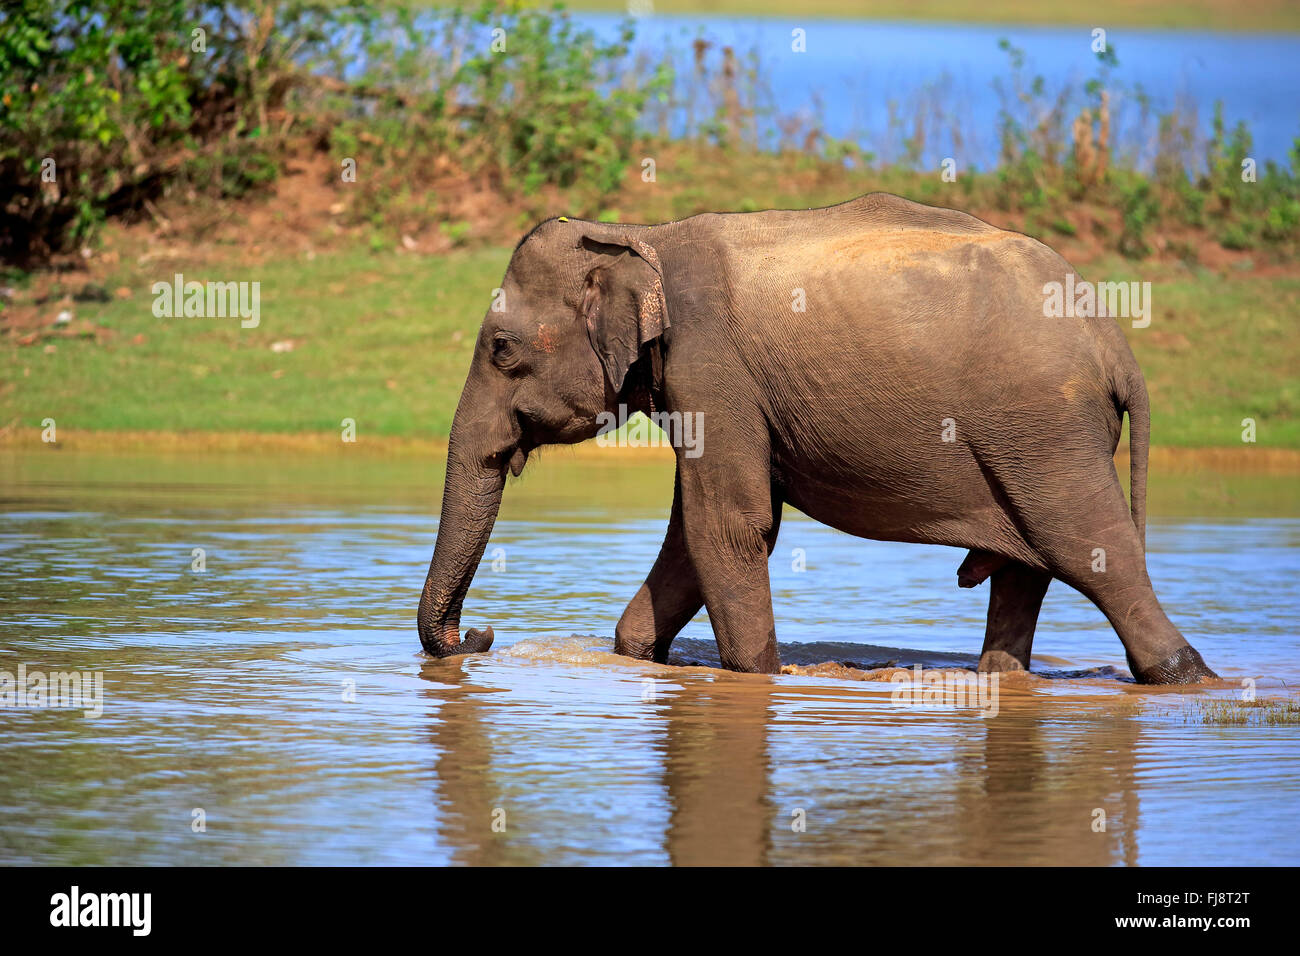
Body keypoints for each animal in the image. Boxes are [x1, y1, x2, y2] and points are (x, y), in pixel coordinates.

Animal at [416, 195, 1216, 686]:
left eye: (501, 349)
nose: (480, 636)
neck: (643, 235)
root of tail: (1113, 340)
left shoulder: (713, 368)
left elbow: (727, 526)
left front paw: (759, 679)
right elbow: (695, 533)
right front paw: (639, 656)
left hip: (1044, 428)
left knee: (1095, 554)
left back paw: (1185, 676)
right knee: (1032, 569)